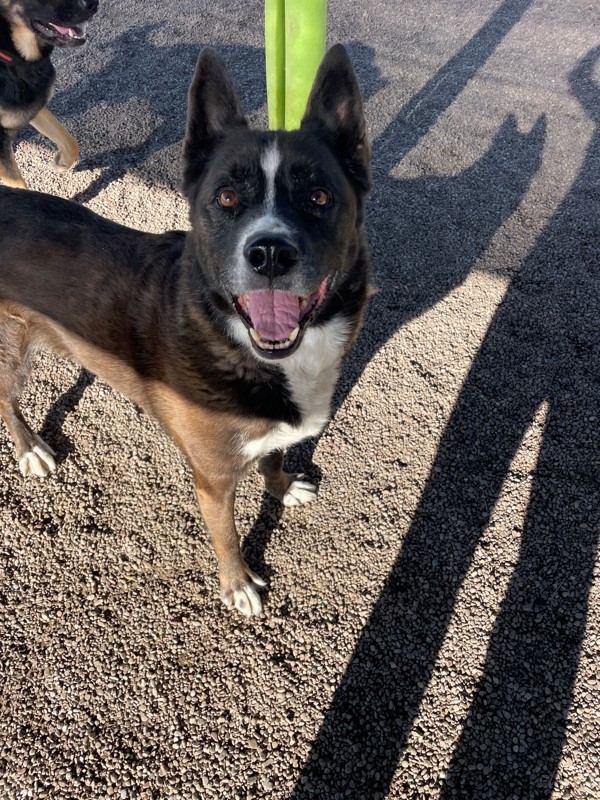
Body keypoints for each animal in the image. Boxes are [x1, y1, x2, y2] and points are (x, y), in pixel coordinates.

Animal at [0, 45, 370, 620]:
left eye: (318, 197)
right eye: (225, 198)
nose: (270, 254)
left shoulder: (271, 436)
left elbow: (274, 457)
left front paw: (283, 487)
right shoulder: (213, 479)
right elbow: (226, 535)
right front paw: (237, 584)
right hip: (10, 348)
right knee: (6, 400)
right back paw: (30, 450)